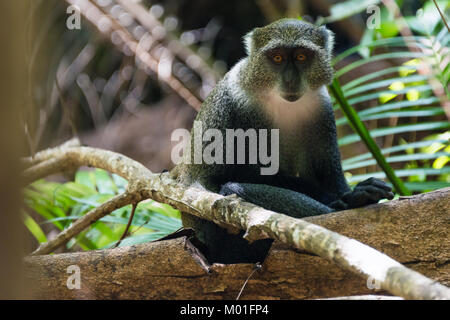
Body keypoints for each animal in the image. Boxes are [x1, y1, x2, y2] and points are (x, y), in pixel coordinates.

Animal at [170, 18, 394, 264]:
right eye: (277, 58)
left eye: (301, 57)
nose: (290, 81)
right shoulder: (235, 104)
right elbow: (215, 180)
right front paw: (347, 198)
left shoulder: (321, 108)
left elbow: (330, 178)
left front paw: (349, 193)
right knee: (234, 189)